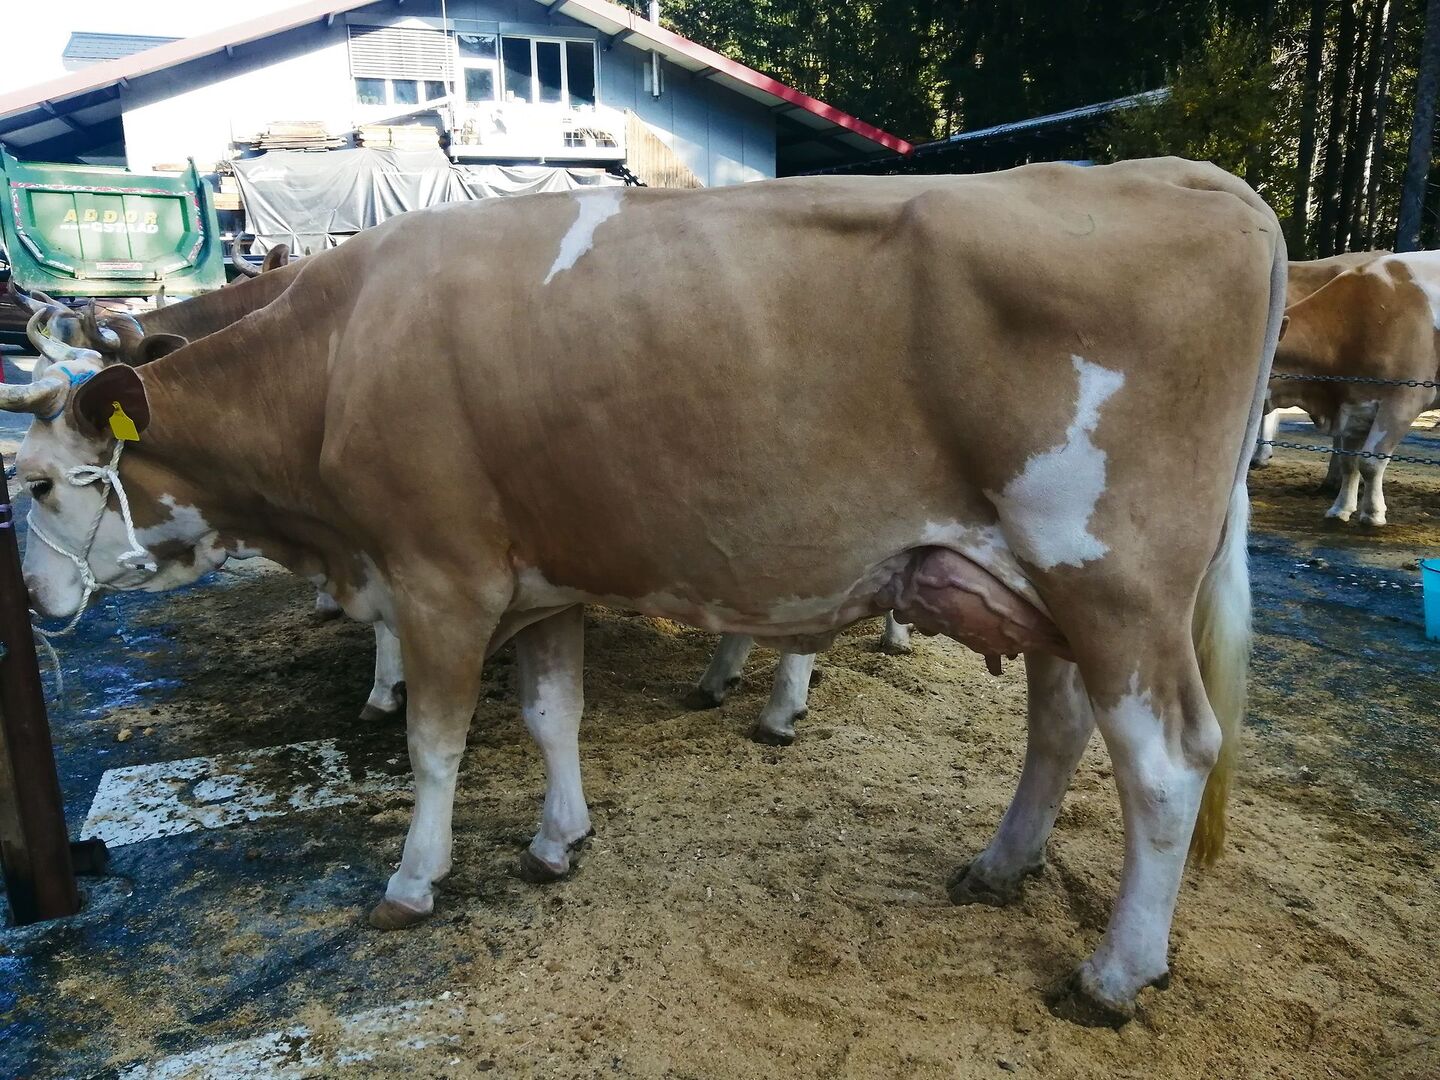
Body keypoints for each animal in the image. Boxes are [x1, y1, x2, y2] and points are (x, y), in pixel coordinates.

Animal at [3, 158, 1285, 1025]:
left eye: (39, 481)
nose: (35, 599)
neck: (340, 354)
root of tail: (1198, 180)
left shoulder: (438, 574)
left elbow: (436, 745)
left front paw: (412, 879)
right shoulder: (544, 577)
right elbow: (550, 714)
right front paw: (557, 840)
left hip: (1113, 578)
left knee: (1167, 762)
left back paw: (1115, 971)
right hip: (1040, 587)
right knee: (1060, 726)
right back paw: (1001, 867)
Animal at [1272, 251, 1440, 525]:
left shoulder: (1404, 399)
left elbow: (1370, 462)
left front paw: (1372, 514)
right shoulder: (1355, 403)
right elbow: (1348, 463)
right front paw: (1340, 509)